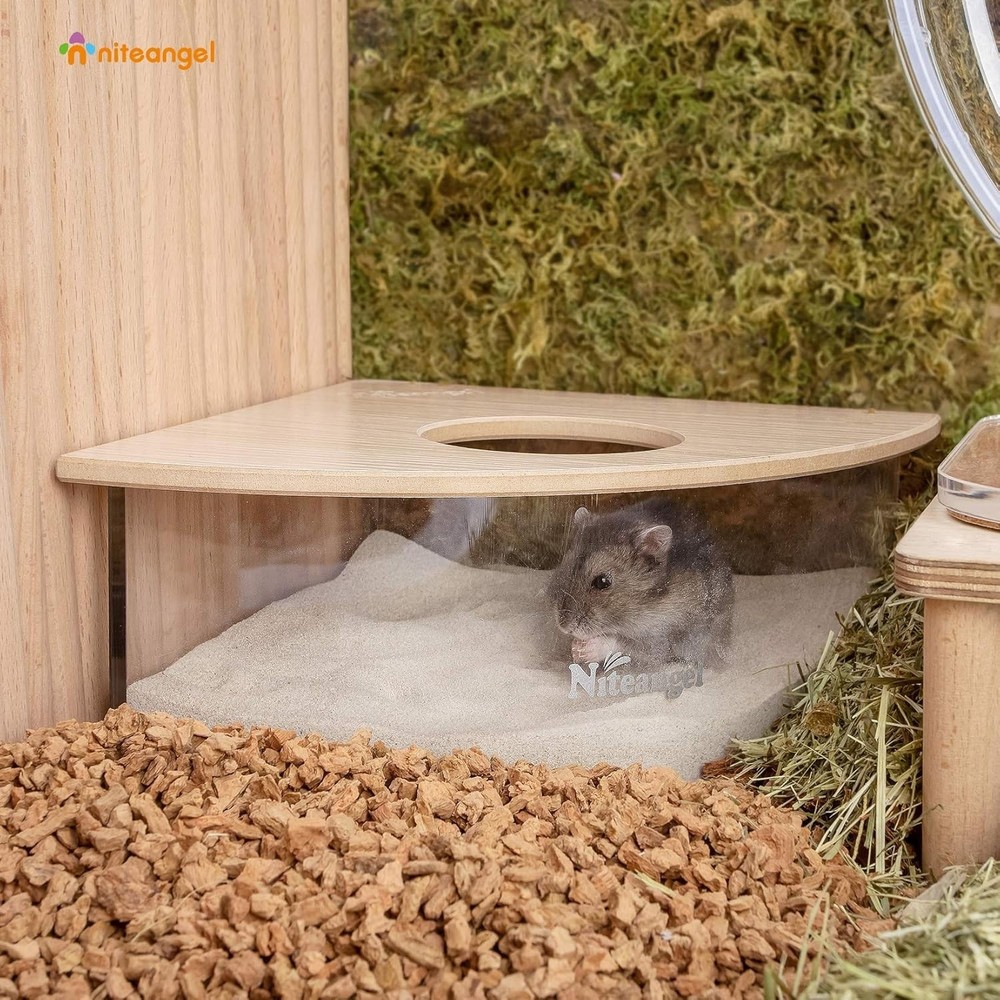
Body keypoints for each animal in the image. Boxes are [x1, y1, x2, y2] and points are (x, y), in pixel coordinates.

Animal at [546, 497, 735, 676]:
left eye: (602, 582)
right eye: (566, 567)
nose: (564, 627)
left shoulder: (662, 637)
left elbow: (626, 644)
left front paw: (582, 649)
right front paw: (574, 649)